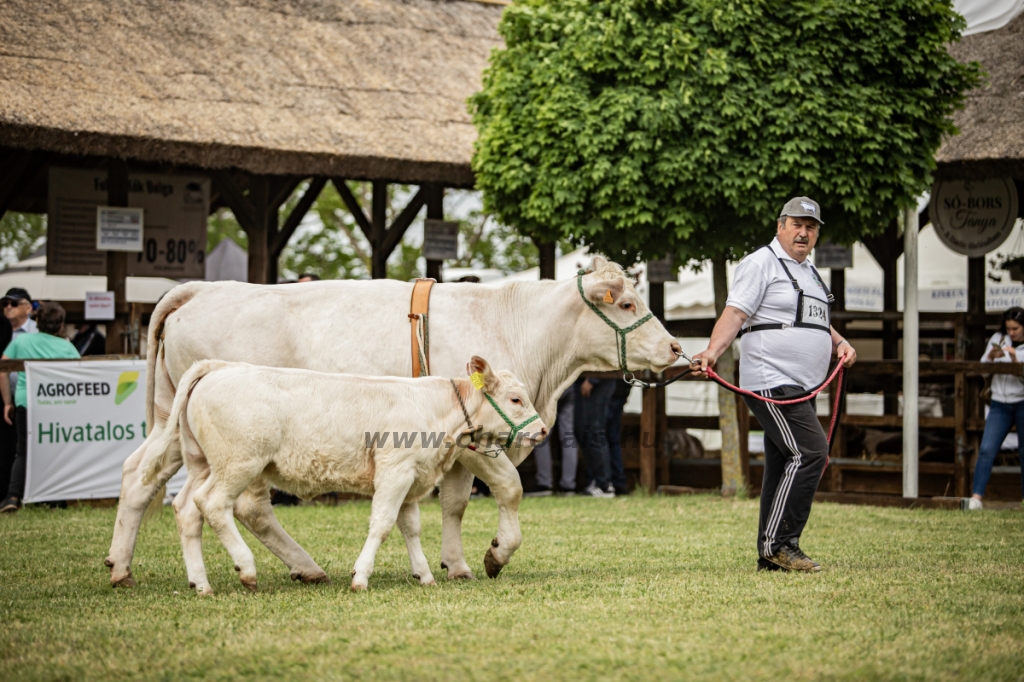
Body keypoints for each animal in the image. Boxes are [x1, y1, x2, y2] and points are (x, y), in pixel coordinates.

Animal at [140, 352, 548, 593]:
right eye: (515, 398)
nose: (543, 430)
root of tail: (221, 367)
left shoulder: (411, 478)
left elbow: (410, 527)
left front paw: (424, 574)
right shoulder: (395, 472)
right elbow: (382, 524)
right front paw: (361, 576)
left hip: (202, 463)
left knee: (187, 510)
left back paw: (201, 583)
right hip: (238, 464)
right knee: (213, 505)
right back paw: (246, 568)